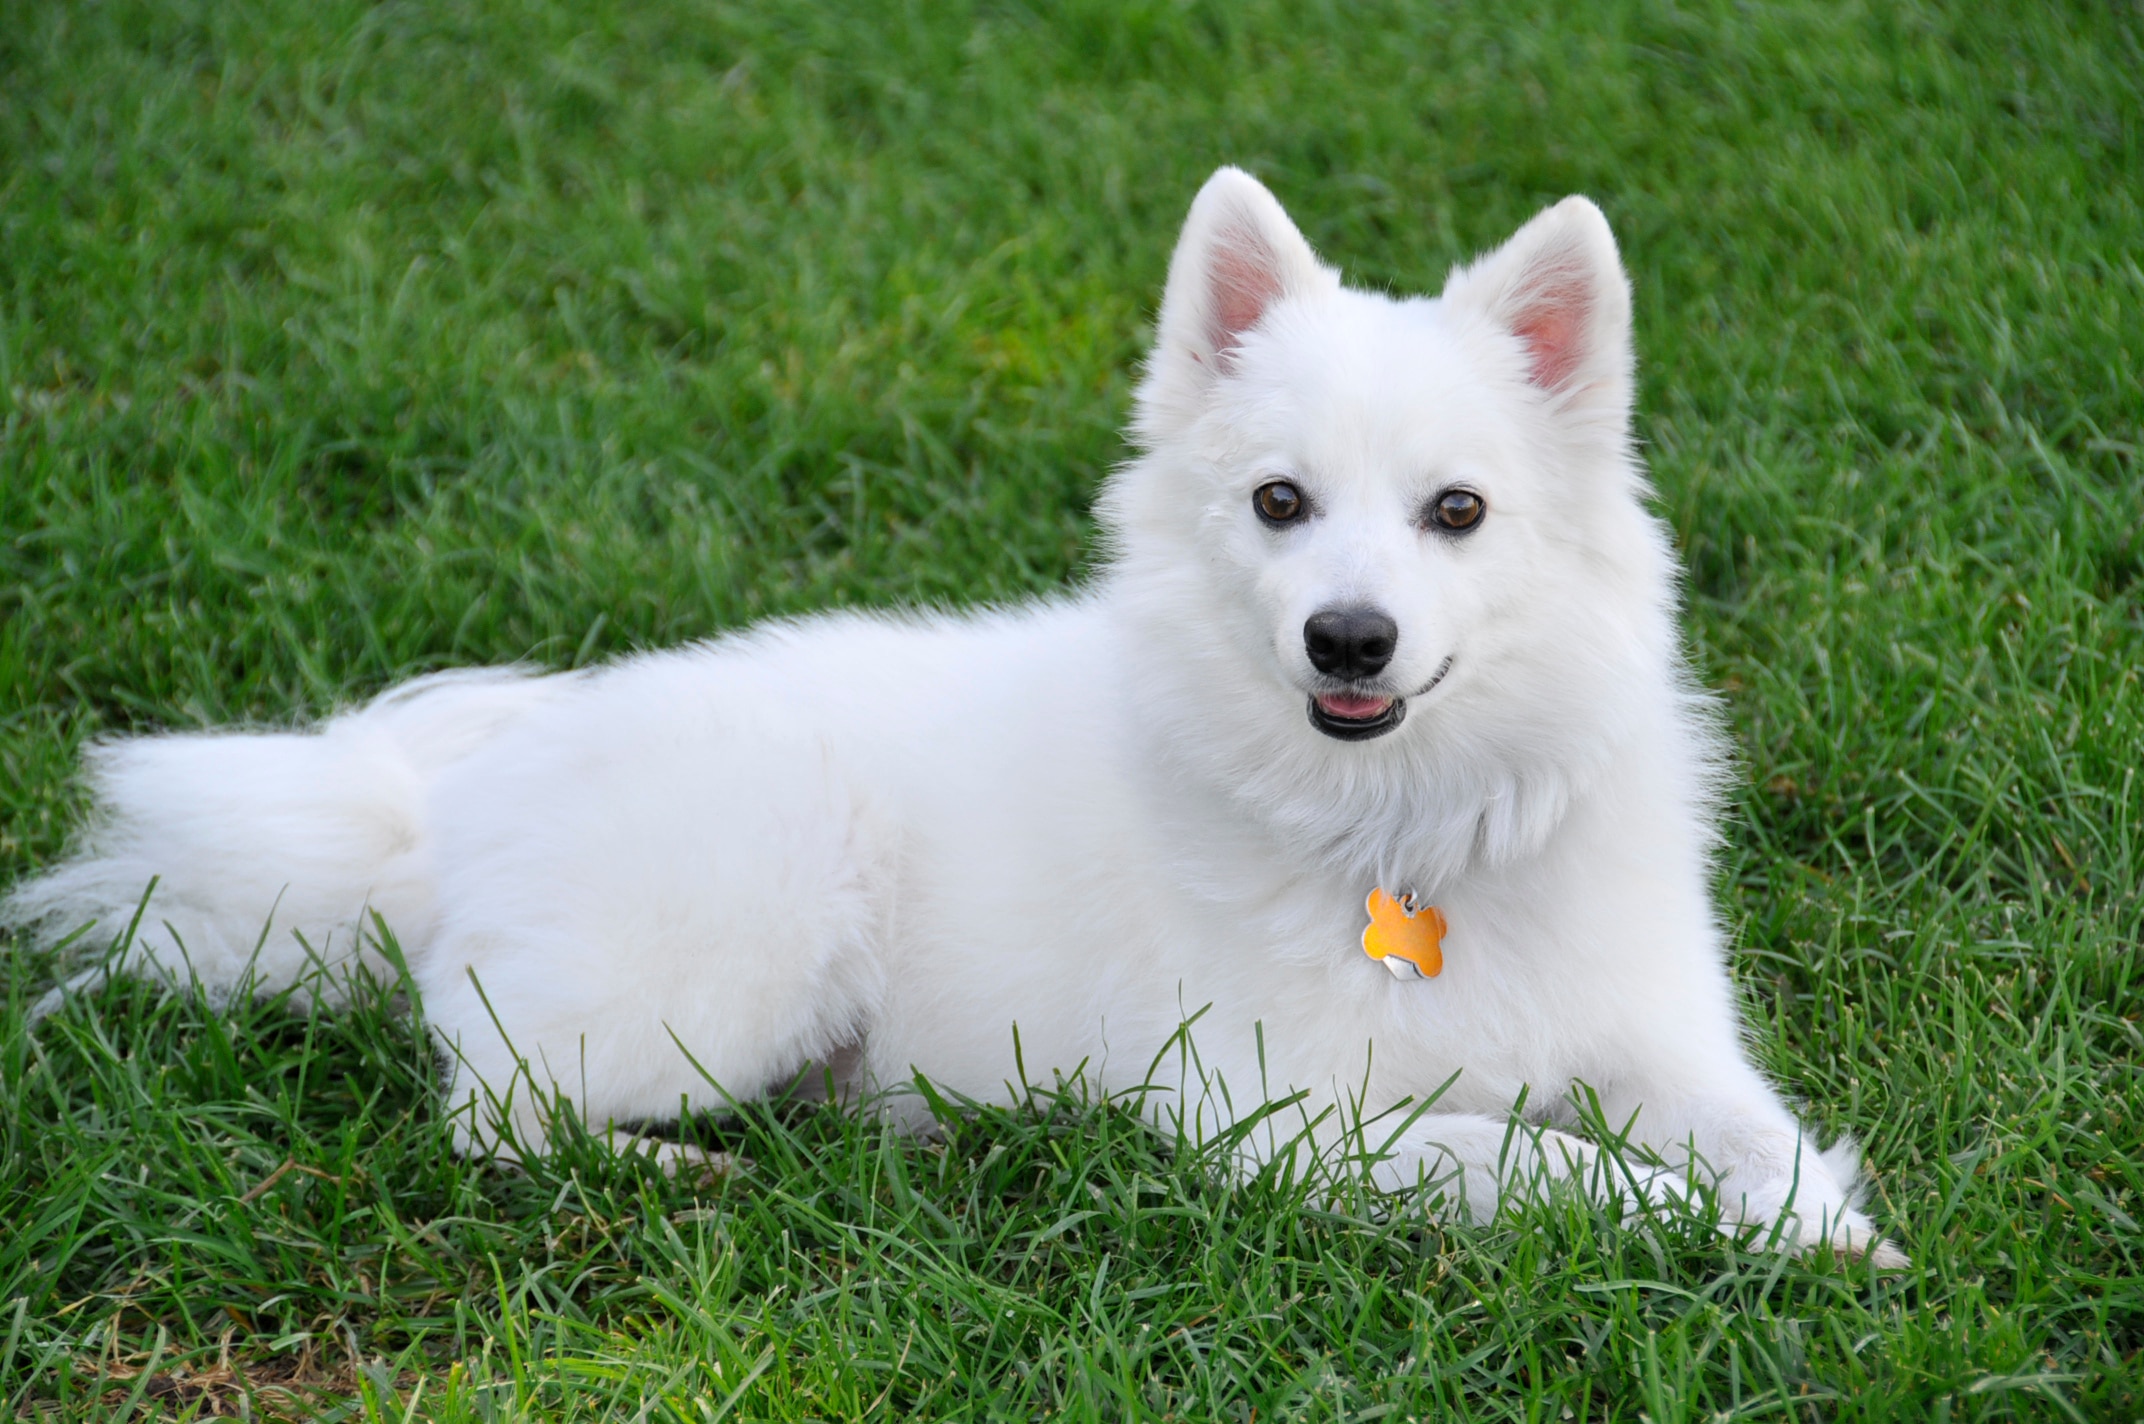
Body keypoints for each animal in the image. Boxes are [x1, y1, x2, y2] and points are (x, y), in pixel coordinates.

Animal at [8, 169, 1903, 1269]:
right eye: (1280, 502)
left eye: (1458, 512)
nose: (1347, 636)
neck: (1404, 831)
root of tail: (445, 820)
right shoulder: (1275, 1119)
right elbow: (1539, 1161)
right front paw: (1729, 1227)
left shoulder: (1663, 1039)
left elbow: (1750, 1127)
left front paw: (1817, 1217)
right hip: (744, 952)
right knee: (492, 1110)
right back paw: (677, 1174)